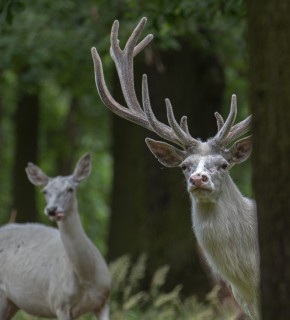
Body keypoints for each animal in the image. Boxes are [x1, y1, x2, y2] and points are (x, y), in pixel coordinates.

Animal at [0, 154, 110, 318]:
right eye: (44, 191)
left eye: (70, 189)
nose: (52, 209)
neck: (87, 277)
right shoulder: (60, 302)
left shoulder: (104, 300)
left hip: (11, 302)